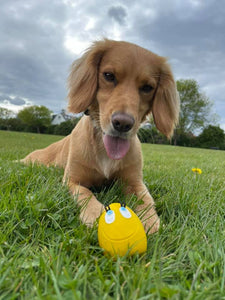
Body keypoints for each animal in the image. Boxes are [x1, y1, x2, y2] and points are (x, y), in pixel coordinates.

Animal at [21, 38, 179, 234]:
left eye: (147, 87)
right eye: (109, 75)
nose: (123, 123)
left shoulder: (135, 182)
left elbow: (146, 199)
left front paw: (151, 221)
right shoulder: (72, 180)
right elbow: (85, 193)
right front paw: (97, 215)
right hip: (35, 160)